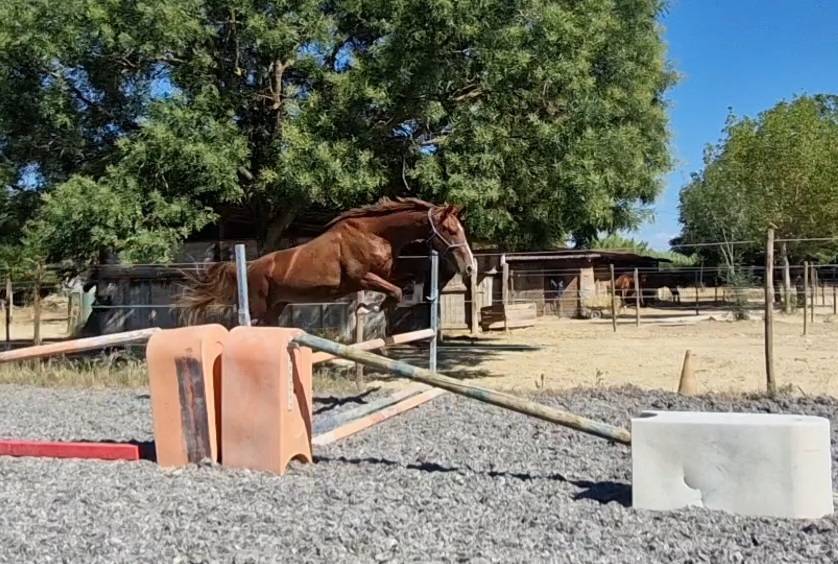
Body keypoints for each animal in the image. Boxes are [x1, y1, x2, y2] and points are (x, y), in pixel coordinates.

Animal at [178, 197, 475, 327]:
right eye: (450, 230)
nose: (470, 267)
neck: (375, 233)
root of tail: (250, 266)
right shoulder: (361, 277)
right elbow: (395, 290)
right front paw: (381, 307)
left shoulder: (387, 272)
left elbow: (407, 279)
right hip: (258, 307)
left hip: (276, 307)